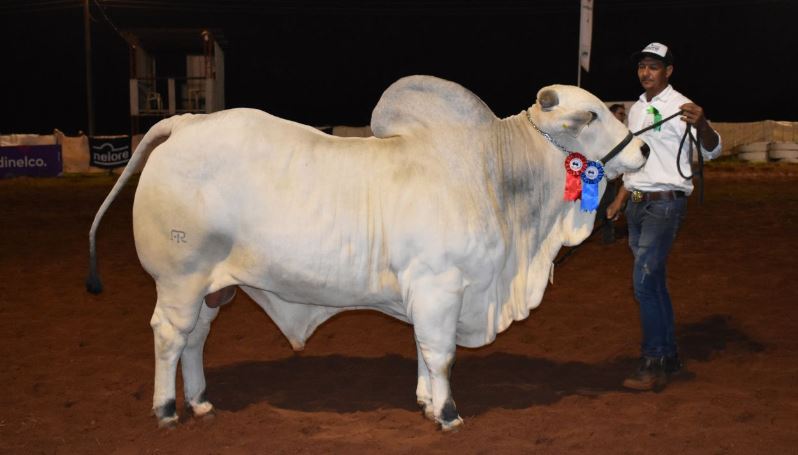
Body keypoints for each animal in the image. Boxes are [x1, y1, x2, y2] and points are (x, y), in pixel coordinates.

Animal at [87, 75, 648, 432]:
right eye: (592, 114)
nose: (643, 150)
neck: (494, 174)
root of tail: (184, 122)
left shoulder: (430, 296)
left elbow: (424, 349)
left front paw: (427, 403)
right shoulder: (440, 286)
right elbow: (441, 353)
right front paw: (448, 414)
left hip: (212, 288)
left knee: (195, 340)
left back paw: (201, 403)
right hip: (179, 279)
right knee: (169, 337)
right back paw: (166, 409)